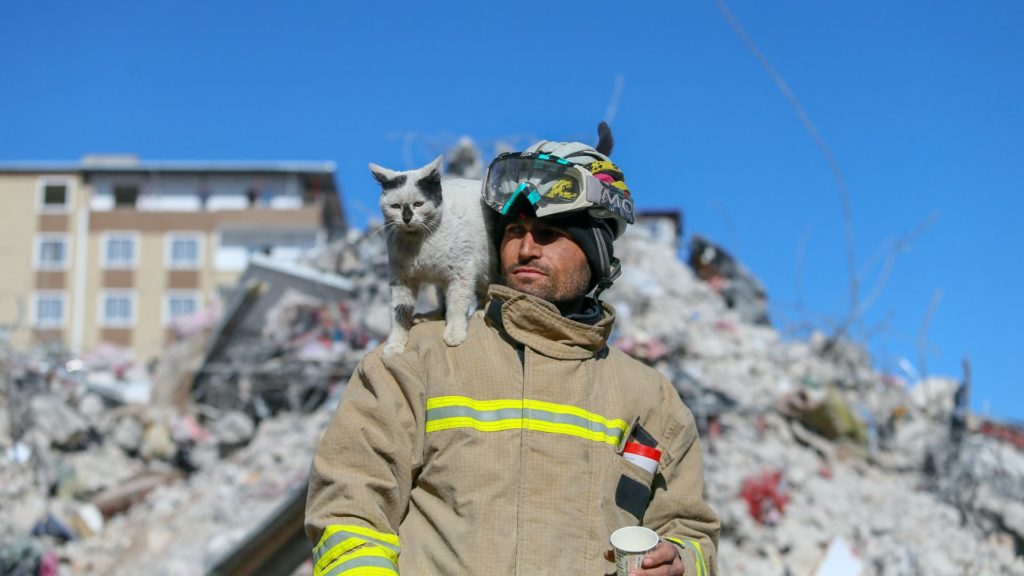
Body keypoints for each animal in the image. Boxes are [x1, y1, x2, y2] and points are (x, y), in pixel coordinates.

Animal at [370, 154, 497, 356]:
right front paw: (396, 344)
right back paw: (429, 316)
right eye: (395, 206)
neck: (419, 245)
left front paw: (454, 333)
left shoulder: (462, 273)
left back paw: (479, 311)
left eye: (418, 204)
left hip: (486, 268)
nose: (407, 218)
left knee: (486, 290)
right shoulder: (401, 279)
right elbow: (399, 312)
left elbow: (457, 305)